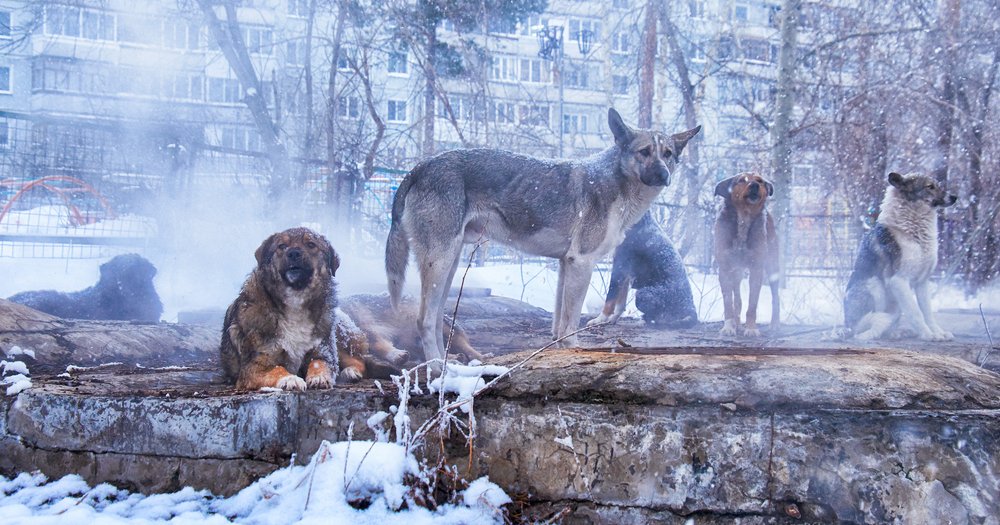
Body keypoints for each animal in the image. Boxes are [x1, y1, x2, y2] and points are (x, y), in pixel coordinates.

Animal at [220, 227, 340, 390]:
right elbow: (277, 369)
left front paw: (319, 377)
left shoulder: (324, 351)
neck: (295, 300)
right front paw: (290, 379)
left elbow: (319, 362)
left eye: (311, 244)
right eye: (282, 246)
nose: (294, 253)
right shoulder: (254, 366)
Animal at [386, 106, 700, 360]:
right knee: (424, 321)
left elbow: (558, 326)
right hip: (439, 264)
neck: (615, 184)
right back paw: (437, 369)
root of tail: (420, 166)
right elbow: (571, 323)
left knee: (437, 319)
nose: (663, 175)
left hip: (448, 267)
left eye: (668, 154)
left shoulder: (566, 264)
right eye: (644, 152)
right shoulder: (581, 263)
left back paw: (445, 361)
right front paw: (574, 349)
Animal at [712, 172, 780, 336]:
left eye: (760, 181)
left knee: (776, 296)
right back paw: (736, 323)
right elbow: (728, 303)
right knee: (737, 298)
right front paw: (728, 327)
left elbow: (752, 304)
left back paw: (775, 324)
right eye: (741, 180)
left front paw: (751, 328)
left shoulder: (757, 268)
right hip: (736, 271)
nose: (754, 185)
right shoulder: (724, 269)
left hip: (772, 266)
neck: (744, 216)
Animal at [848, 170, 956, 338]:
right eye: (930, 186)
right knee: (864, 327)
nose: (954, 197)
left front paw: (939, 333)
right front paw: (928, 335)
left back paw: (896, 333)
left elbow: (927, 313)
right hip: (875, 286)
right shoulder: (898, 280)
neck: (914, 232)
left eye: (937, 185)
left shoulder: (922, 282)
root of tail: (846, 324)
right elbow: (916, 313)